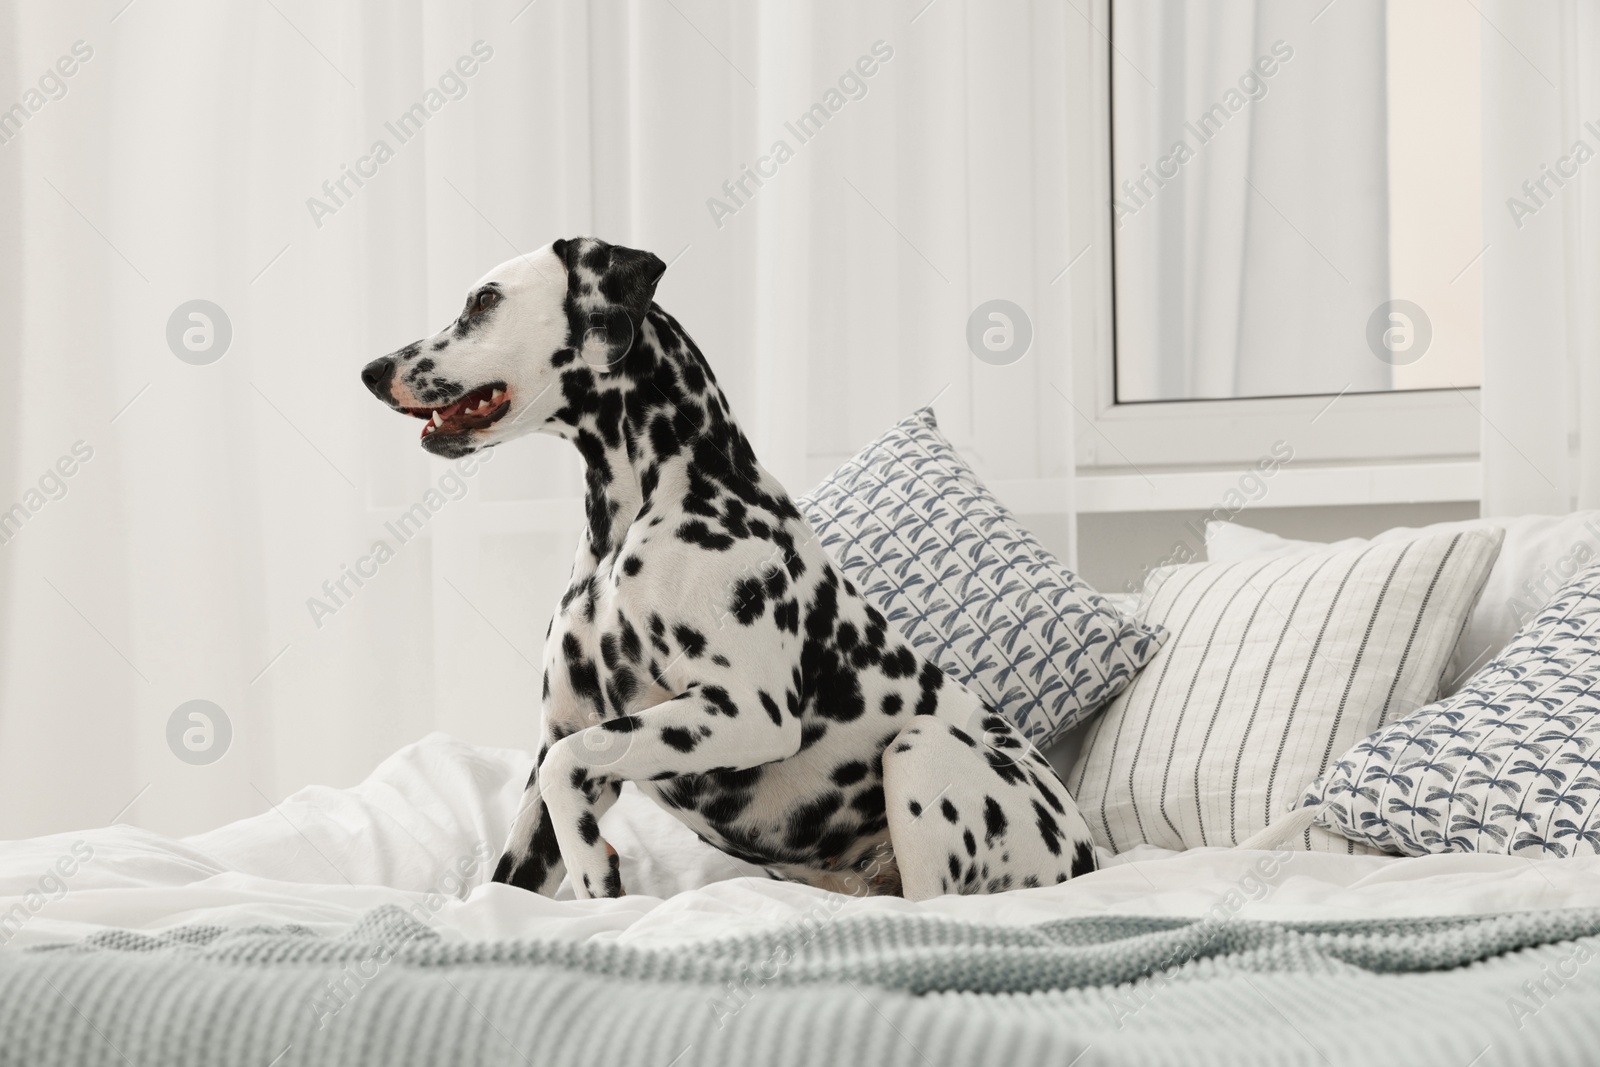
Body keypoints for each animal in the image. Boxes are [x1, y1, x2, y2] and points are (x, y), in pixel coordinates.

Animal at [360, 235, 1100, 902]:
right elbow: (514, 863)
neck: (644, 512)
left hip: (920, 746)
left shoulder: (742, 712)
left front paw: (599, 873)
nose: (370, 370)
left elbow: (569, 773)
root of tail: (1087, 856)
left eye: (483, 301)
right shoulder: (559, 742)